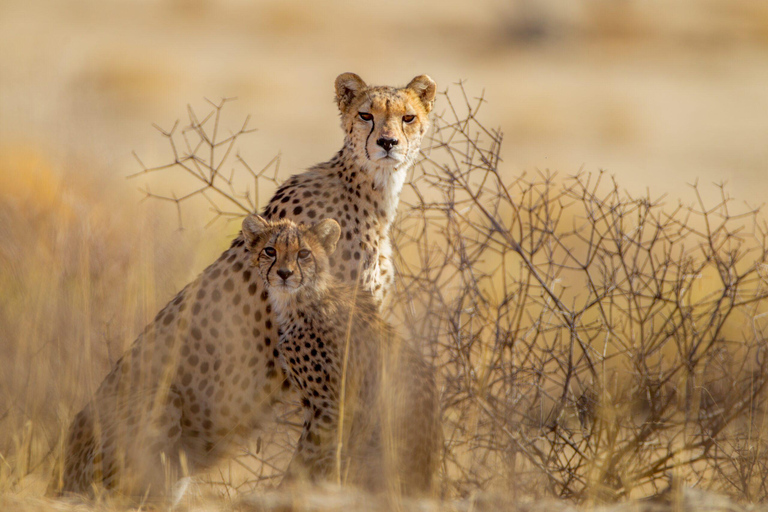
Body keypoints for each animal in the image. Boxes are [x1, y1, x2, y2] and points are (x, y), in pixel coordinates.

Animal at [243, 215, 440, 496]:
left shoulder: (331, 407)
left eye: (304, 253)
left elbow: (304, 457)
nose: (284, 274)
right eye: (270, 251)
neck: (300, 300)